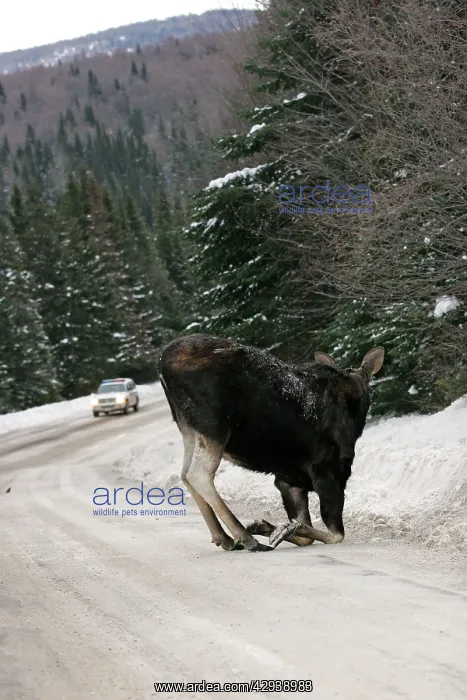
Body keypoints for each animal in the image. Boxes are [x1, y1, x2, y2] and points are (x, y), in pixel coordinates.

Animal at [158, 333, 384, 552]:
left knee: (185, 474)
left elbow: (305, 534)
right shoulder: (329, 471)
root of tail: (162, 366)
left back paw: (224, 537)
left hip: (189, 429)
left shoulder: (289, 479)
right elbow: (336, 534)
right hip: (215, 428)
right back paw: (245, 538)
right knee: (198, 474)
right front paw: (284, 528)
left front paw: (270, 527)